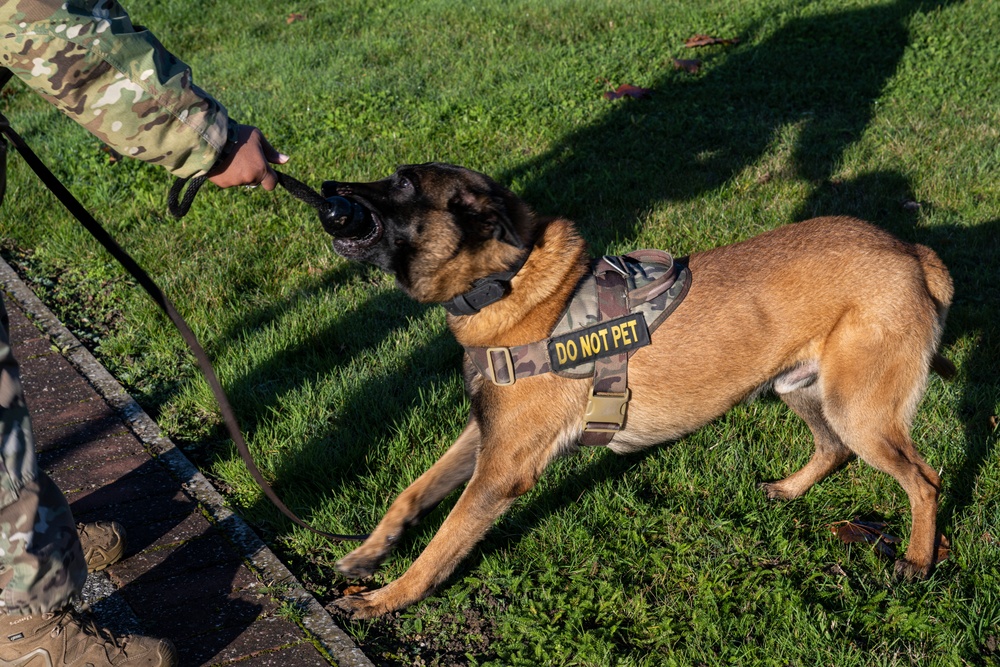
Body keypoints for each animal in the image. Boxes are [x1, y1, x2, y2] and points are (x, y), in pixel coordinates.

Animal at [320, 162, 952, 620]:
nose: (325, 191)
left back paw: (918, 561)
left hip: (857, 410)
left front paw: (387, 599)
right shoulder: (484, 433)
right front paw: (369, 553)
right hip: (802, 389)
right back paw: (790, 490)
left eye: (403, 184)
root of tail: (910, 252)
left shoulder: (502, 469)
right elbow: (412, 493)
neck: (509, 284)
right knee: (833, 449)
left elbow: (444, 542)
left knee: (924, 480)